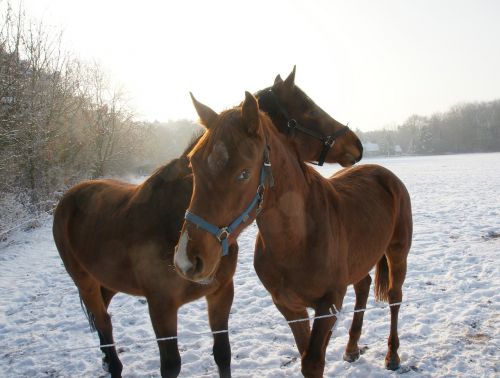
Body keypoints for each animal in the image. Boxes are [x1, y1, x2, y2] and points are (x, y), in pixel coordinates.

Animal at [51, 68, 364, 378]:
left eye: (244, 173)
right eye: (310, 109)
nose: (356, 144)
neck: (168, 217)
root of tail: (68, 197)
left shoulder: (220, 294)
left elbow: (223, 354)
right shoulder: (161, 307)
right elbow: (171, 366)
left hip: (106, 284)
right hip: (86, 284)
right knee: (105, 328)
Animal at [174, 93, 412, 376]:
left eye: (244, 173)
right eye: (193, 164)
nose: (187, 260)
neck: (297, 240)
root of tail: (384, 173)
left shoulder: (328, 305)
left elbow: (313, 362)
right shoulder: (289, 306)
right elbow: (304, 354)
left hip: (398, 254)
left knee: (395, 298)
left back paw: (393, 355)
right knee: (363, 286)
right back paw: (352, 348)